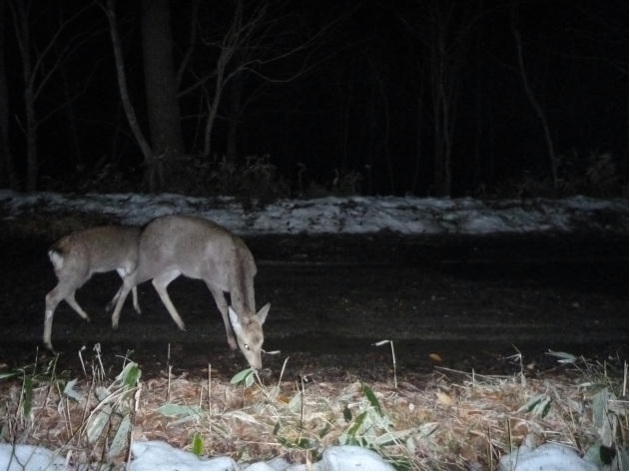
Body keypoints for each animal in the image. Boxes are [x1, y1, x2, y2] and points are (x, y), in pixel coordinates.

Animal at [109, 215, 272, 372]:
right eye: (246, 345)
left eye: (262, 341)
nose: (258, 367)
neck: (236, 269)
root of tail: (143, 234)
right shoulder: (210, 279)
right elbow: (223, 306)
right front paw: (231, 341)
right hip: (151, 261)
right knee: (129, 279)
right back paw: (115, 320)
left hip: (175, 267)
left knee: (158, 283)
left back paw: (180, 323)